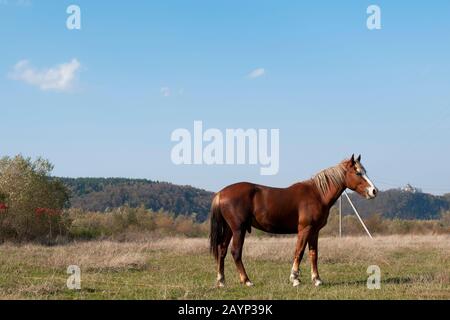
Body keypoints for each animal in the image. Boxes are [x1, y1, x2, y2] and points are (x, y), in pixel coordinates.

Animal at [209, 154, 378, 288]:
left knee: (222, 250)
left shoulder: (314, 231)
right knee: (235, 252)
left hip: (230, 229)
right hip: (239, 229)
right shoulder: (305, 229)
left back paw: (221, 281)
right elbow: (299, 252)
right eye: (358, 173)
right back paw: (247, 280)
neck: (317, 194)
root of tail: (221, 193)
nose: (374, 191)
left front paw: (317, 279)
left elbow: (313, 254)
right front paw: (295, 279)